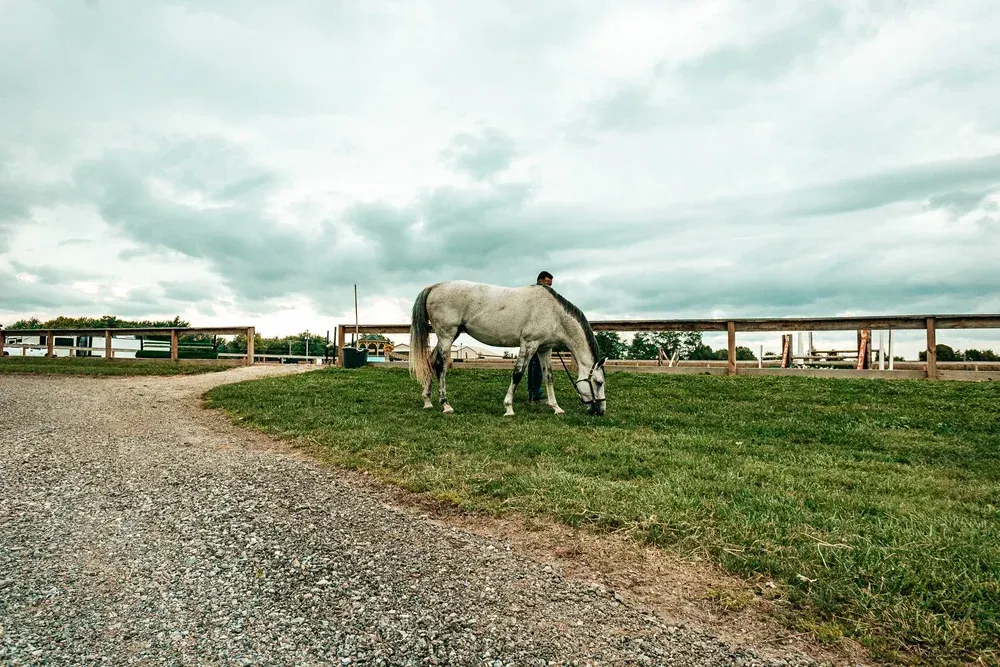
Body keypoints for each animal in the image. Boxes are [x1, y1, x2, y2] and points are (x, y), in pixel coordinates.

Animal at [408, 280, 607, 416]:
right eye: (599, 382)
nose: (600, 410)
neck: (553, 312)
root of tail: (435, 286)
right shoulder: (529, 344)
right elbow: (517, 374)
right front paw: (509, 407)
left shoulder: (544, 348)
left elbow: (549, 377)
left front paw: (556, 408)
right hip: (447, 335)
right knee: (440, 366)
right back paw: (446, 405)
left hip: (450, 336)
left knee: (431, 361)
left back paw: (427, 401)